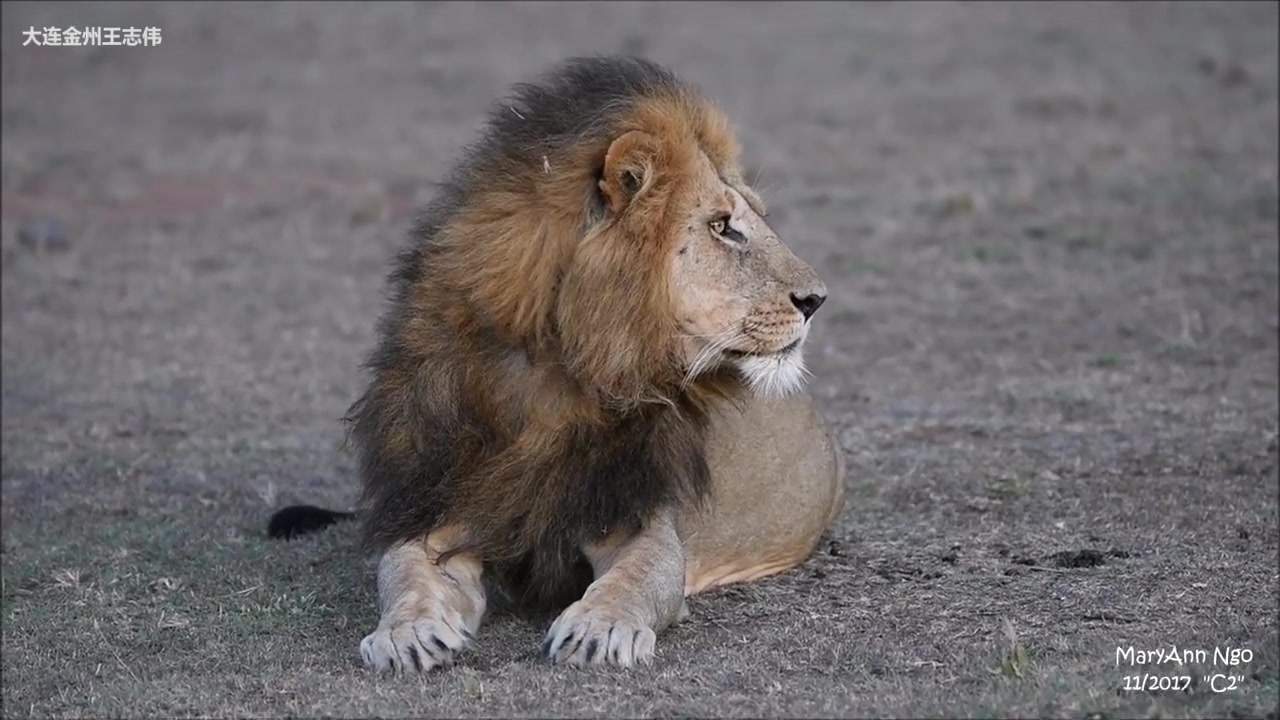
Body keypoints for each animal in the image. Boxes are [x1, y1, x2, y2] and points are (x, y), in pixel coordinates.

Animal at [266, 56, 844, 671]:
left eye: (754, 220)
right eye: (722, 226)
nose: (817, 300)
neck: (552, 377)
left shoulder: (640, 520)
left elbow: (634, 580)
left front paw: (600, 628)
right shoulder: (444, 510)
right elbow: (403, 573)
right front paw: (407, 633)